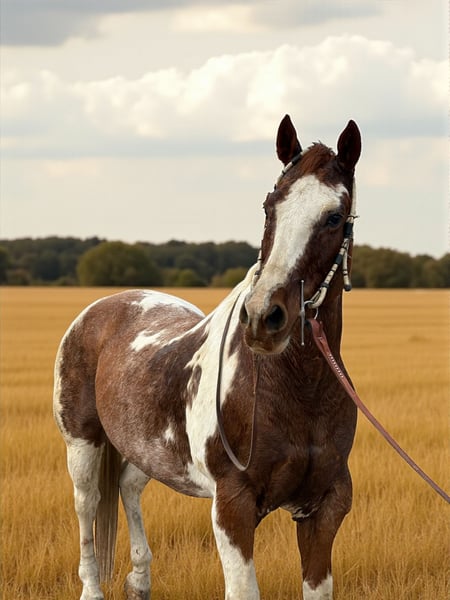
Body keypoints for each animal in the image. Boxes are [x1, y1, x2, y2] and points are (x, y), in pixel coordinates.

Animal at [53, 114, 361, 600]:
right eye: (269, 207)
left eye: (334, 216)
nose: (264, 317)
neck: (298, 389)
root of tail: (107, 305)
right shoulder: (232, 508)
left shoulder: (324, 509)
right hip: (82, 444)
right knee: (87, 508)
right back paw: (93, 587)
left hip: (147, 449)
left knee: (127, 487)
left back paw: (140, 579)